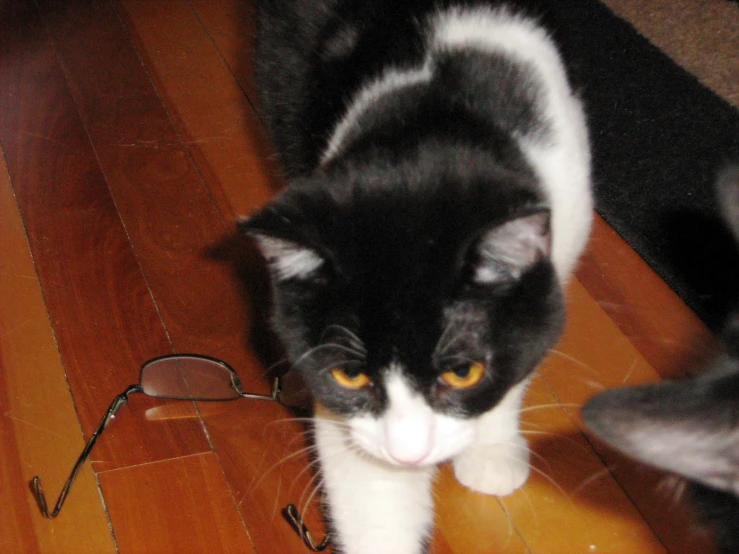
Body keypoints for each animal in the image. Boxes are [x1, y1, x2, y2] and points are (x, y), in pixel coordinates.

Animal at [243, 2, 596, 548]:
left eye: (462, 372)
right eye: (349, 375)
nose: (408, 453)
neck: (436, 127)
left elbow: (527, 345)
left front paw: (491, 447)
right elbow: (371, 489)